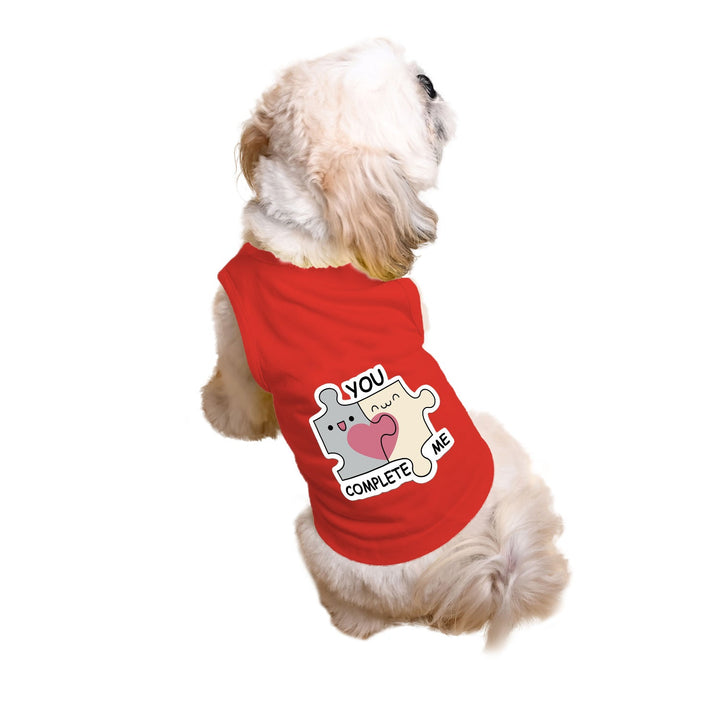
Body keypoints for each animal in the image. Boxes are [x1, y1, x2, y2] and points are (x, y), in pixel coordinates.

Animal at [202, 39, 568, 646]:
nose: (429, 82)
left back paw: (348, 621)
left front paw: (219, 413)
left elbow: (237, 397)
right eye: (420, 103)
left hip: (318, 540)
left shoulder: (235, 343)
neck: (312, 233)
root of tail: (486, 562)